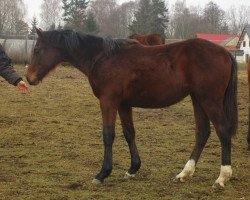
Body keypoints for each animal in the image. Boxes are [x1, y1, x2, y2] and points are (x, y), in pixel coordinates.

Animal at [26, 28, 237, 189]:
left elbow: (108, 135)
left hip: (209, 100)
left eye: (37, 49)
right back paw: (184, 173)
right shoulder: (123, 104)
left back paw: (222, 177)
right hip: (197, 99)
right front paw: (133, 168)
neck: (102, 57)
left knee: (223, 131)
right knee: (203, 132)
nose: (29, 78)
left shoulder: (108, 101)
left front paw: (102, 173)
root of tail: (225, 52)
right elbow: (129, 133)